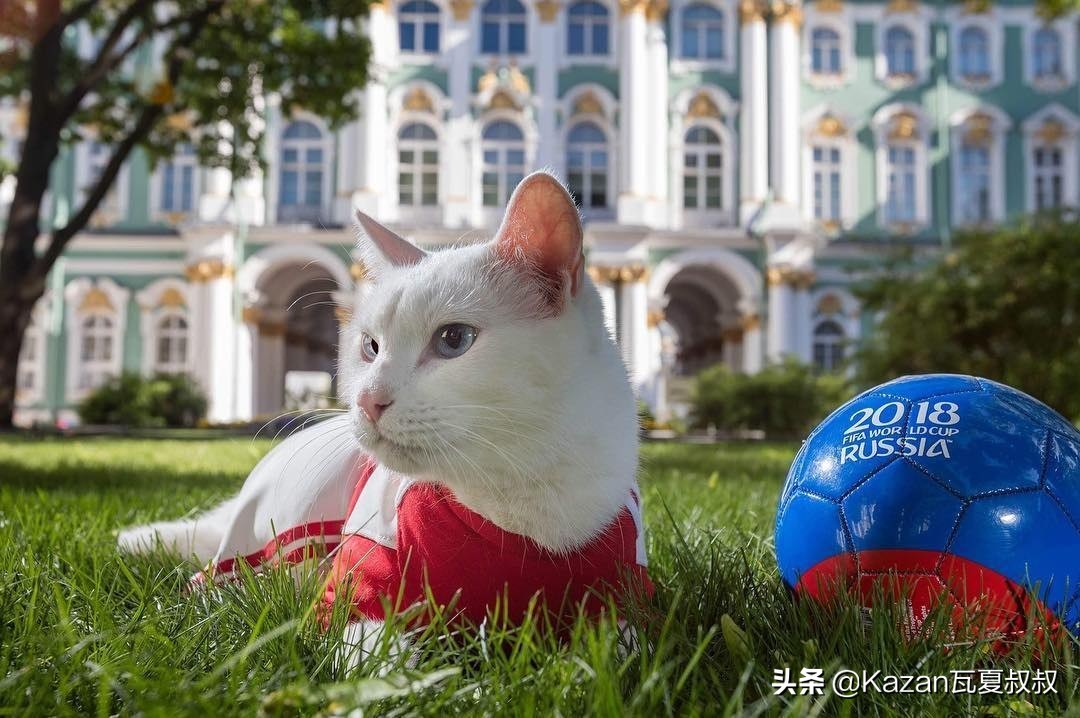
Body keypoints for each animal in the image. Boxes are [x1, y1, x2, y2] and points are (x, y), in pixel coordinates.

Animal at [122, 172, 652, 647]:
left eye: (454, 339)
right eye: (371, 347)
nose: (365, 399)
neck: (523, 503)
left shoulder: (625, 595)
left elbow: (623, 653)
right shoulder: (361, 590)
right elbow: (385, 666)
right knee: (223, 582)